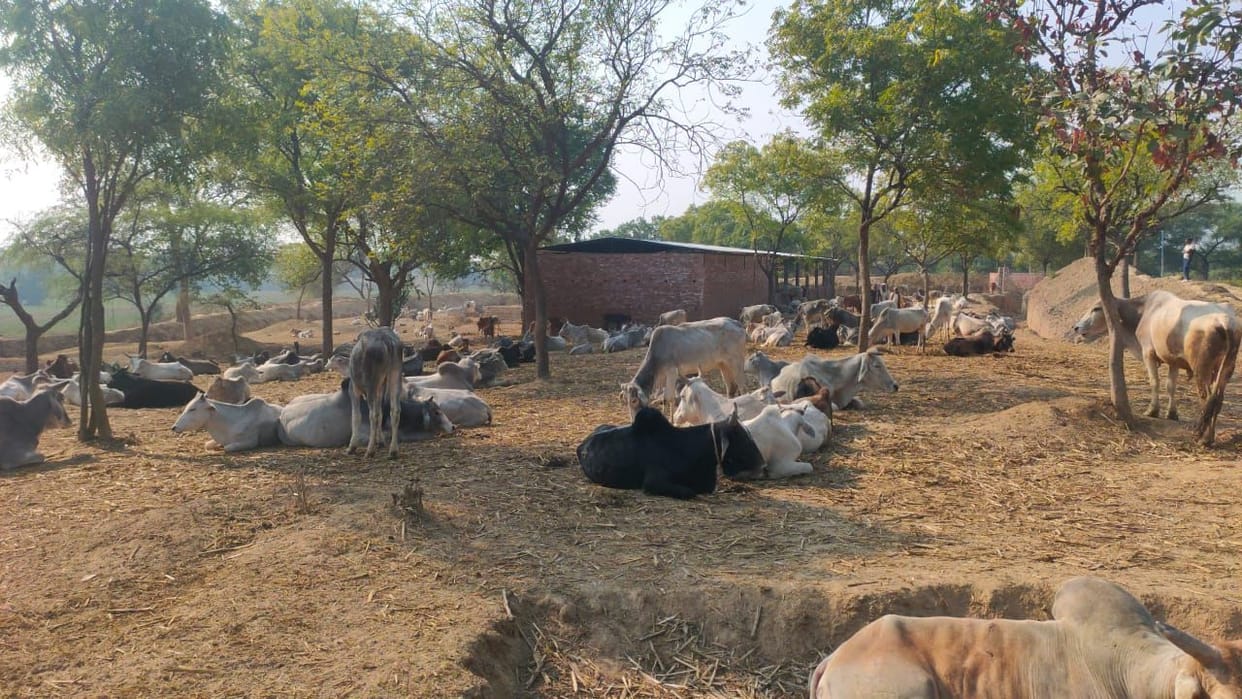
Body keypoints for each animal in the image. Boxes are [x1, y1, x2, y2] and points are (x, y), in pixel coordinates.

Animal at [348, 327, 405, 459]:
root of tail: (388, 340)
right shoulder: (380, 389)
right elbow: (381, 412)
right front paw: (381, 441)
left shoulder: (353, 389)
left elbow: (356, 416)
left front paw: (352, 446)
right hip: (395, 373)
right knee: (395, 410)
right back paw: (393, 450)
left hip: (371, 383)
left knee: (373, 414)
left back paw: (370, 450)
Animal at [1072, 290, 1242, 445]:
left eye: (1096, 308)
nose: (1076, 327)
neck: (1143, 311)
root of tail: (1224, 321)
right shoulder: (1173, 360)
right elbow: (1170, 386)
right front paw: (1171, 414)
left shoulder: (1148, 353)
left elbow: (1154, 382)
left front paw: (1152, 411)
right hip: (1225, 368)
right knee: (1217, 400)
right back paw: (1210, 437)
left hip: (1201, 369)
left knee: (1207, 399)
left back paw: (1203, 438)